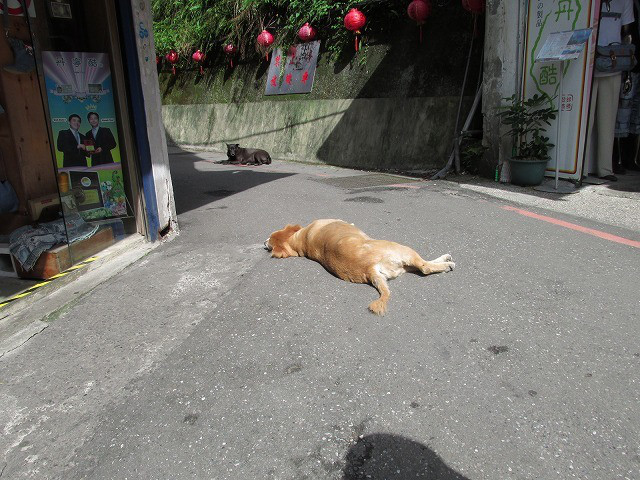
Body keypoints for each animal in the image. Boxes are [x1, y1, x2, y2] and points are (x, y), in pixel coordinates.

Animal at [265, 219, 455, 315]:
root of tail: (369, 268)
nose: (264, 243)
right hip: (403, 250)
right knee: (425, 267)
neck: (299, 240)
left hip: (403, 266)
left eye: (270, 238)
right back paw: (447, 263)